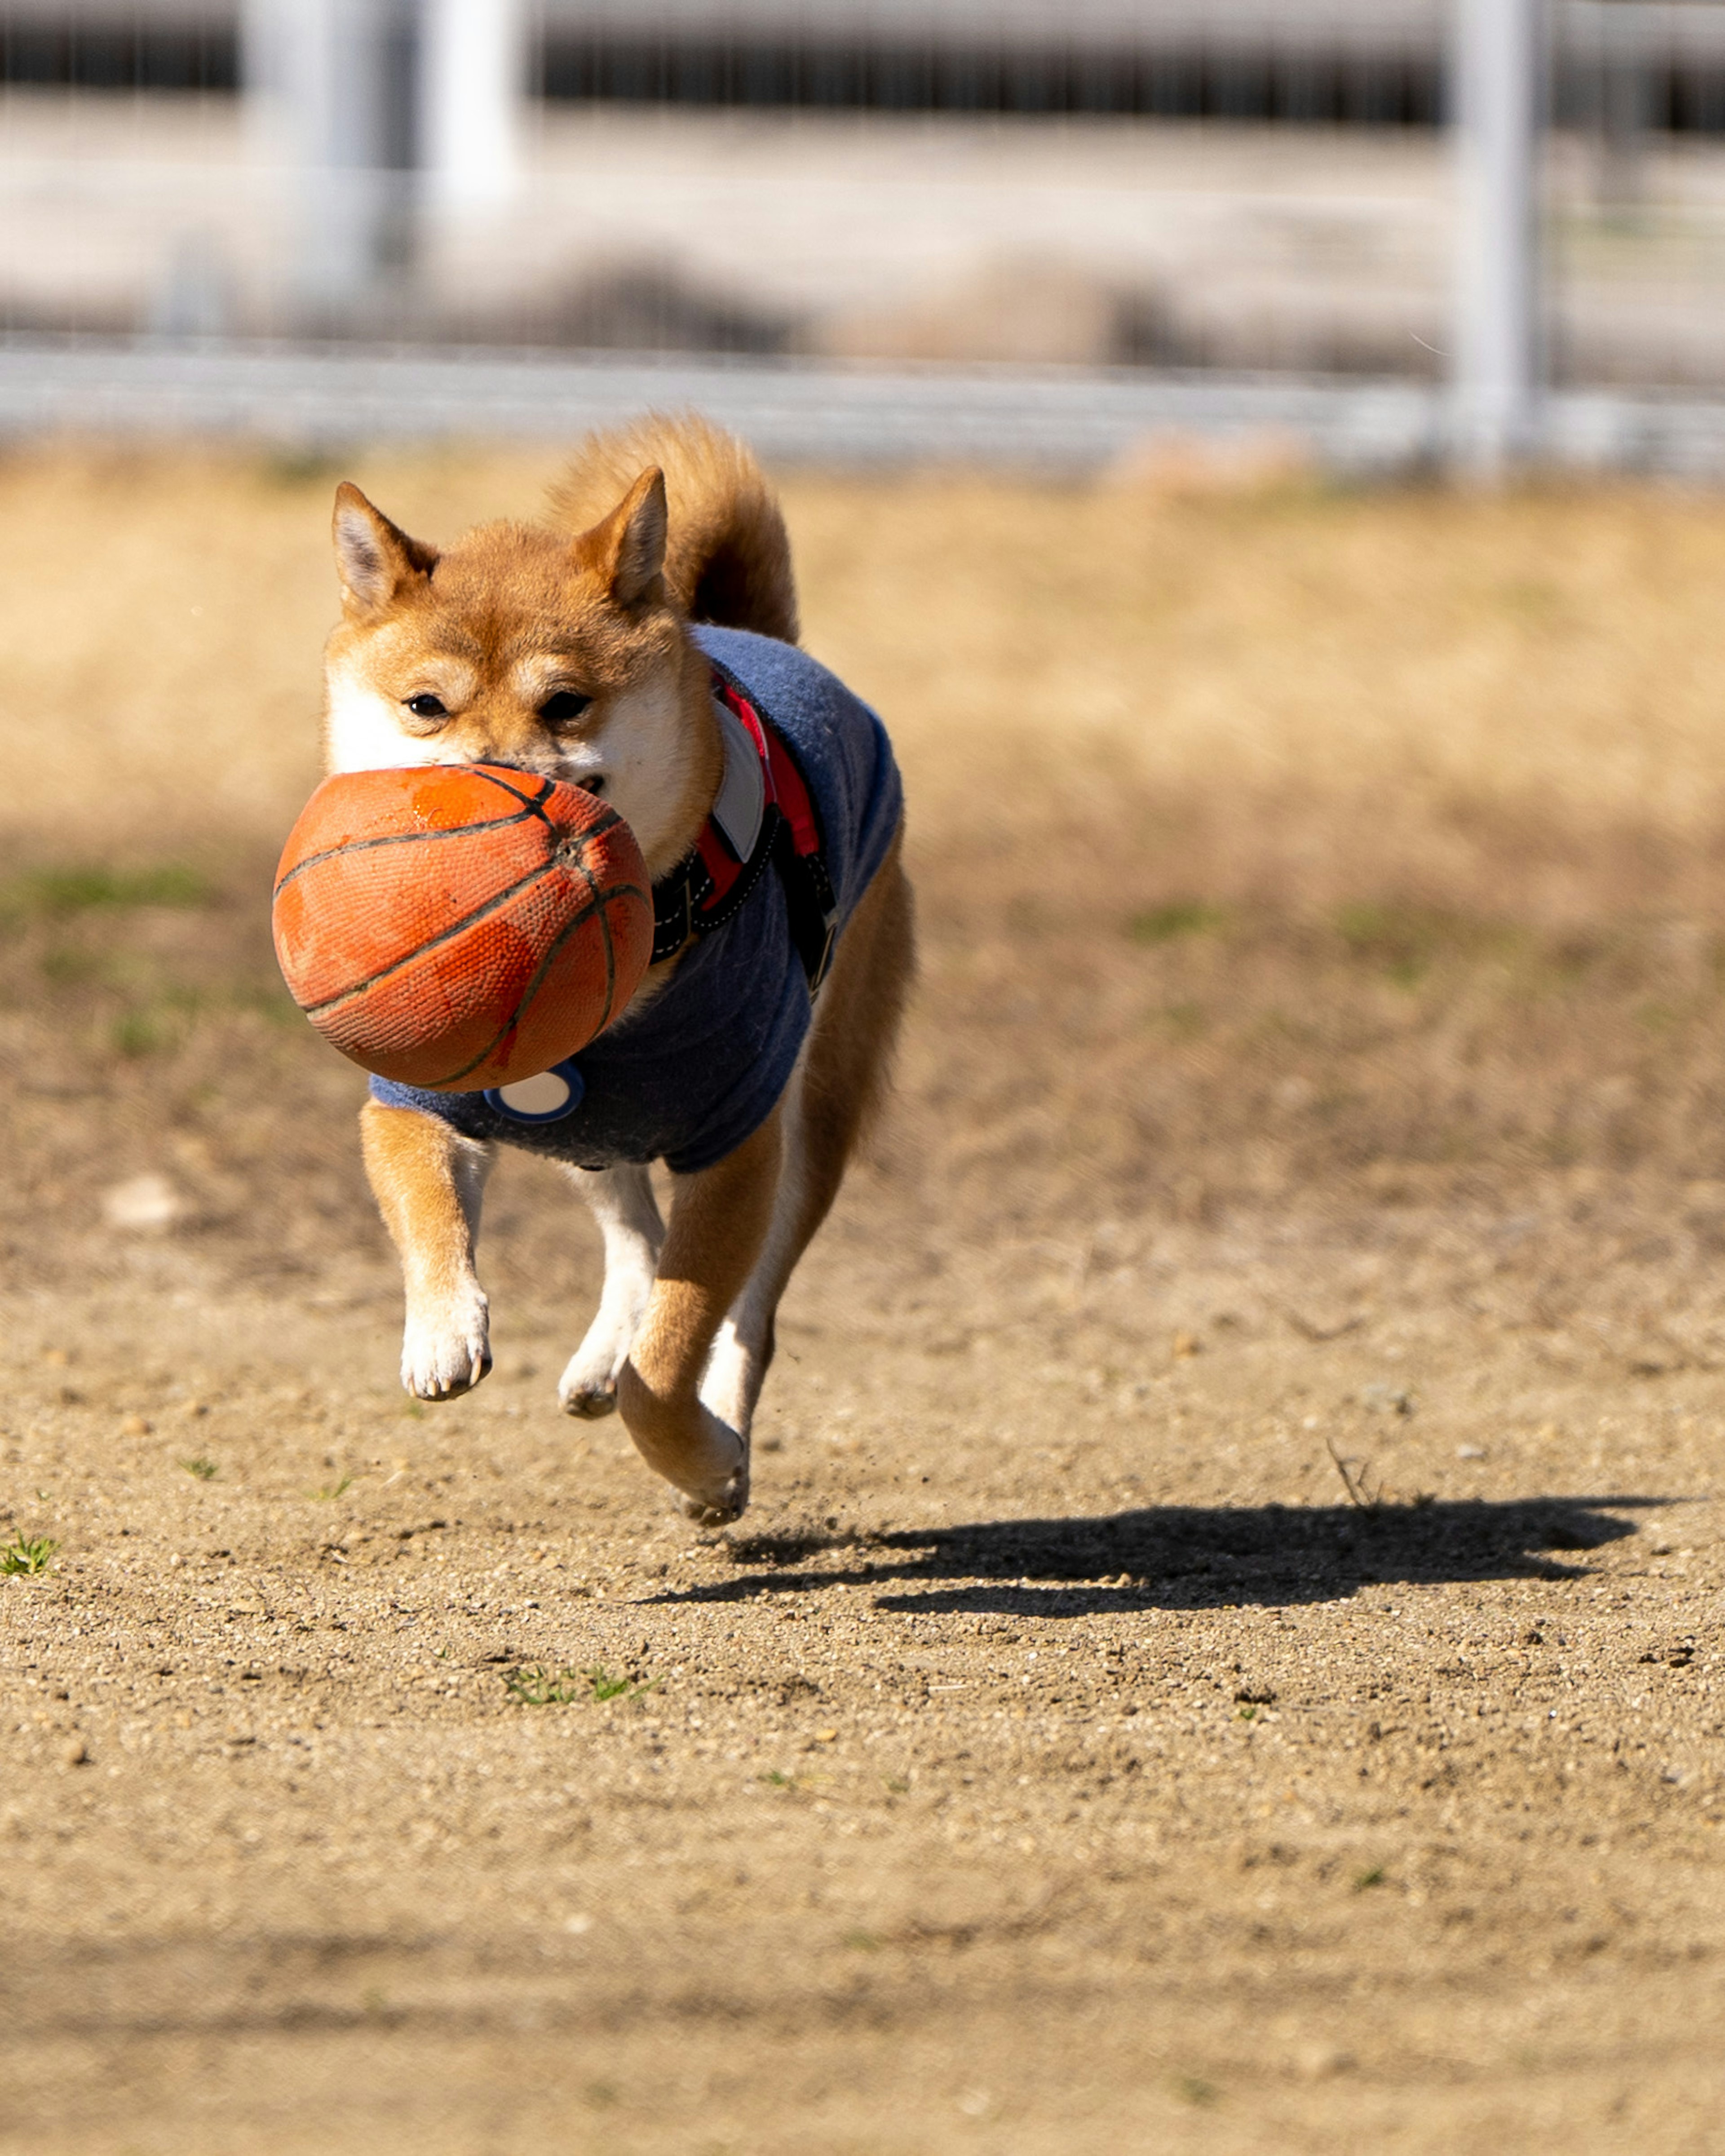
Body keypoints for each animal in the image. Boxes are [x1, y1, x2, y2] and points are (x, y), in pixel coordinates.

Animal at [321, 420, 914, 1526]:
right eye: (425, 706)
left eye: (566, 704)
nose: (491, 784)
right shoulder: (421, 1096)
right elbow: (426, 1201)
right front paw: (443, 1328)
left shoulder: (738, 1146)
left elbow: (676, 1351)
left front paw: (702, 1458)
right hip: (589, 1131)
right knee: (633, 1228)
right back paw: (602, 1353)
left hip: (812, 1115)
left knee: (747, 1315)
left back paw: (719, 1436)